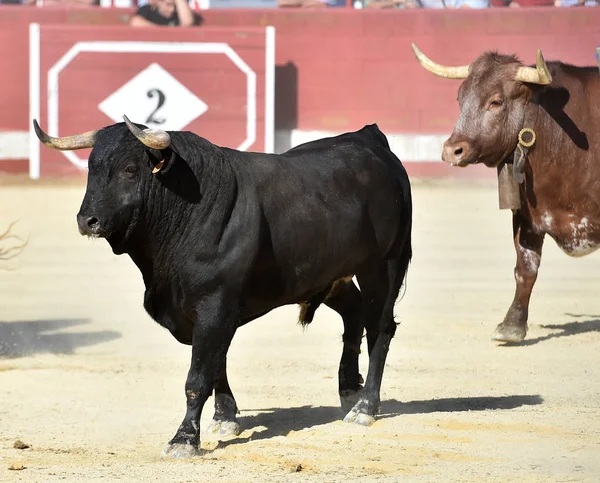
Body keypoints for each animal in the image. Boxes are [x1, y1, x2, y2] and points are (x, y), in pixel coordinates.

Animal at [34, 119, 412, 460]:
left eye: (129, 169)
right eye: (91, 167)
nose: (88, 220)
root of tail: (370, 139)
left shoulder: (215, 305)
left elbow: (197, 377)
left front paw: (184, 440)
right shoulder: (207, 312)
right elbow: (216, 363)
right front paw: (225, 417)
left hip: (385, 265)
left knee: (380, 328)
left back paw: (365, 407)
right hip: (330, 275)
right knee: (355, 314)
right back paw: (348, 390)